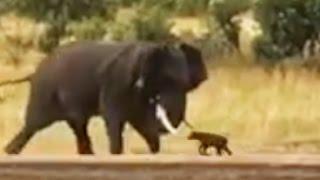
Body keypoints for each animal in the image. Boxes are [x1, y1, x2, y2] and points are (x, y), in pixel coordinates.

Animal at [3, 40, 208, 155]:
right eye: (167, 80)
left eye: (185, 85)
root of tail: (34, 72)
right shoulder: (118, 81)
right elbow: (115, 118)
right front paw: (116, 153)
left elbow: (142, 123)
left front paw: (154, 151)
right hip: (45, 91)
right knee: (33, 125)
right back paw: (9, 152)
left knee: (78, 127)